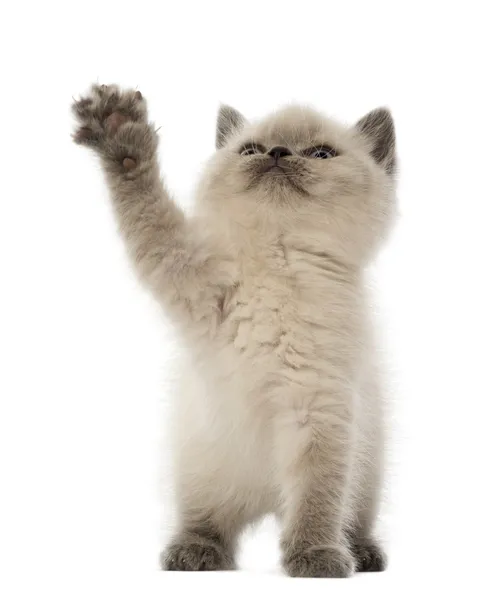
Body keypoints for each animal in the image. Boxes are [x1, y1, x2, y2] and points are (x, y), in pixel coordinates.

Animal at [71, 84, 398, 576]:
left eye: (320, 154)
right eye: (251, 150)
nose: (278, 154)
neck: (278, 255)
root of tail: (267, 501)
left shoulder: (317, 407)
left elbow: (318, 498)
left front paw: (316, 555)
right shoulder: (182, 269)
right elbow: (147, 211)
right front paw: (119, 132)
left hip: (366, 470)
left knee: (347, 515)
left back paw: (360, 553)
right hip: (202, 470)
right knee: (207, 521)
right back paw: (194, 552)